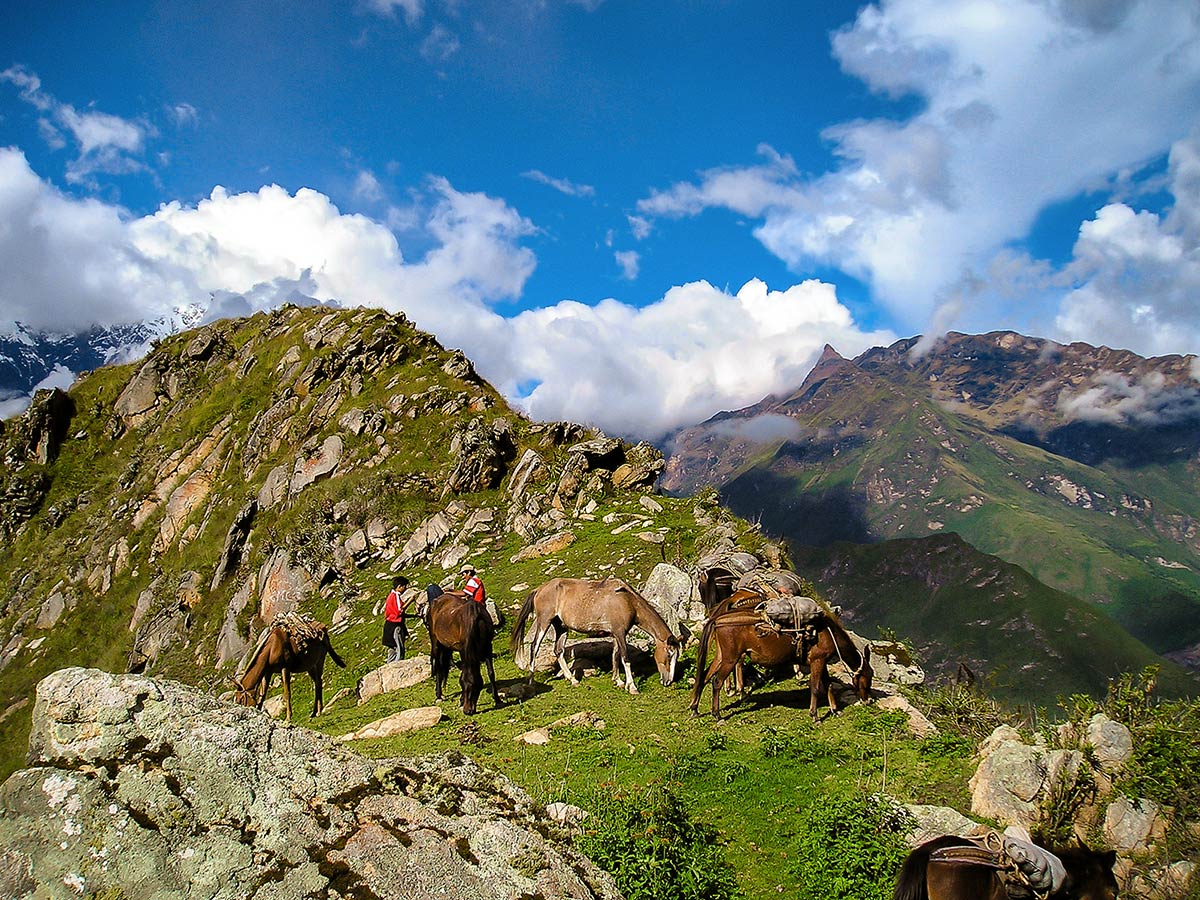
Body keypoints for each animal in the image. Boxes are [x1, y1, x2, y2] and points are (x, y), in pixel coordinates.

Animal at [424, 592, 499, 720]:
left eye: (475, 687)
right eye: (462, 685)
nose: (467, 711)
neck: (475, 620)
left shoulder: (488, 647)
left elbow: (491, 673)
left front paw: (497, 698)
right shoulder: (464, 651)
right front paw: (461, 701)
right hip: (436, 643)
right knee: (438, 667)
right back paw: (438, 695)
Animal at [511, 578, 681, 696]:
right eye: (669, 654)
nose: (668, 680)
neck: (627, 600)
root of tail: (539, 589)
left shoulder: (617, 633)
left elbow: (615, 655)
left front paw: (618, 680)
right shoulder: (620, 633)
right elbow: (625, 658)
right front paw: (632, 686)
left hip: (561, 627)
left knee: (558, 651)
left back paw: (573, 680)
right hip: (544, 622)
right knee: (534, 647)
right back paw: (531, 682)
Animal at [686, 595, 873, 724]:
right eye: (868, 677)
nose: (869, 700)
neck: (827, 632)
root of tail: (717, 620)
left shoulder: (822, 661)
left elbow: (828, 685)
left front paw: (835, 710)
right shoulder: (818, 660)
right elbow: (815, 687)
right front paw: (815, 716)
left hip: (721, 655)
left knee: (704, 676)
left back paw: (695, 709)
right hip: (730, 658)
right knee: (716, 681)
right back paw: (717, 715)